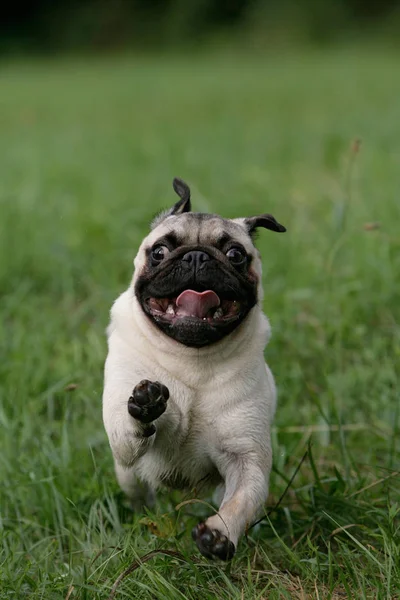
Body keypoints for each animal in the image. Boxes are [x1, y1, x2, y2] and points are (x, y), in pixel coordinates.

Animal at [102, 178, 284, 564]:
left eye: (235, 255)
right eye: (159, 252)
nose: (197, 256)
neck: (192, 358)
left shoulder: (246, 458)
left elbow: (241, 501)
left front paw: (219, 535)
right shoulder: (122, 434)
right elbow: (130, 426)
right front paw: (146, 404)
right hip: (128, 477)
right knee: (140, 495)